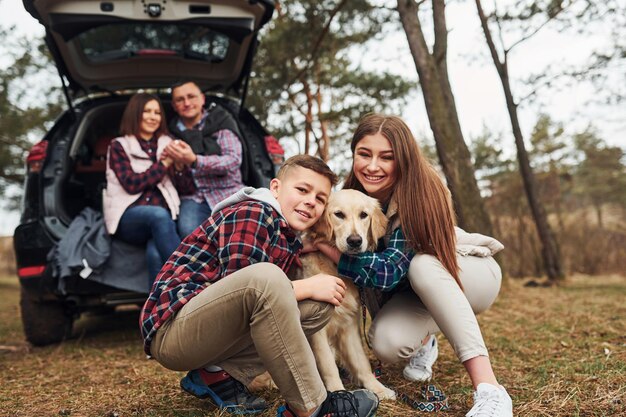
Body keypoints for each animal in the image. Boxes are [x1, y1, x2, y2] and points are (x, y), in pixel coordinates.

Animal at [294, 188, 392, 400]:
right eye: (338, 214)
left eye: (364, 215)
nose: (355, 241)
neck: (335, 268)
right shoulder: (318, 332)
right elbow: (328, 365)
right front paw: (338, 393)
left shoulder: (348, 325)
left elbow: (362, 362)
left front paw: (378, 388)